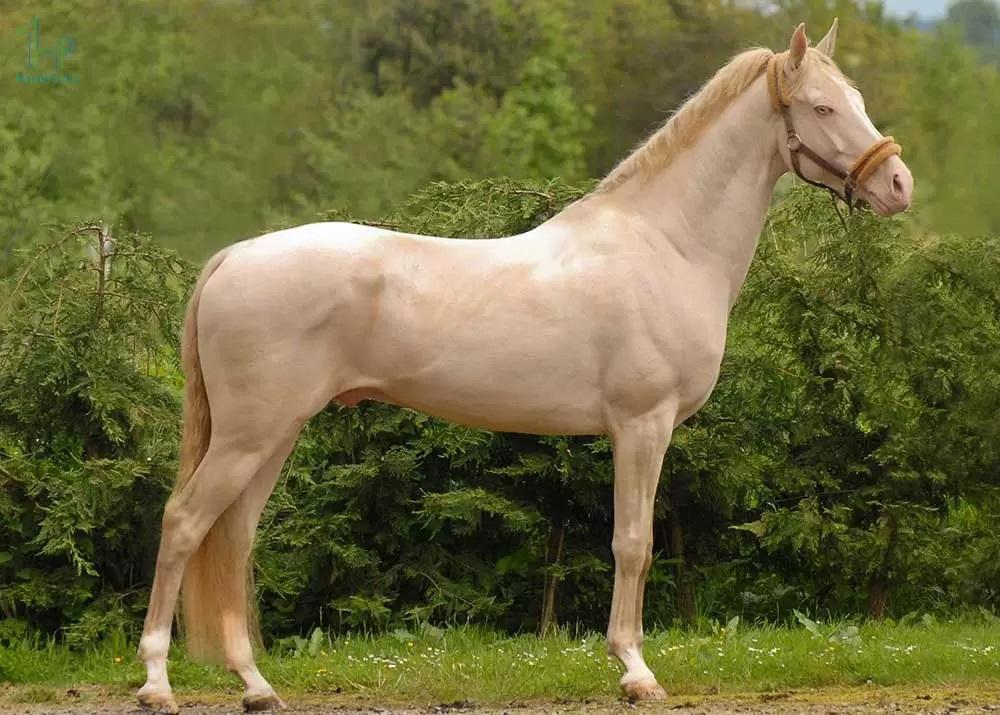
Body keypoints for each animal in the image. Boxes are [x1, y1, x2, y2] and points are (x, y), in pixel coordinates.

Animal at [137, 21, 912, 712]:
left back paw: (256, 686)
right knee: (184, 523)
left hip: (273, 435)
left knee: (233, 539)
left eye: (855, 98)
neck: (666, 243)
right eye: (822, 107)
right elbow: (634, 544)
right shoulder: (643, 426)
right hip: (251, 434)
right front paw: (635, 671)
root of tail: (234, 257)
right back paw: (156, 682)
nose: (899, 184)